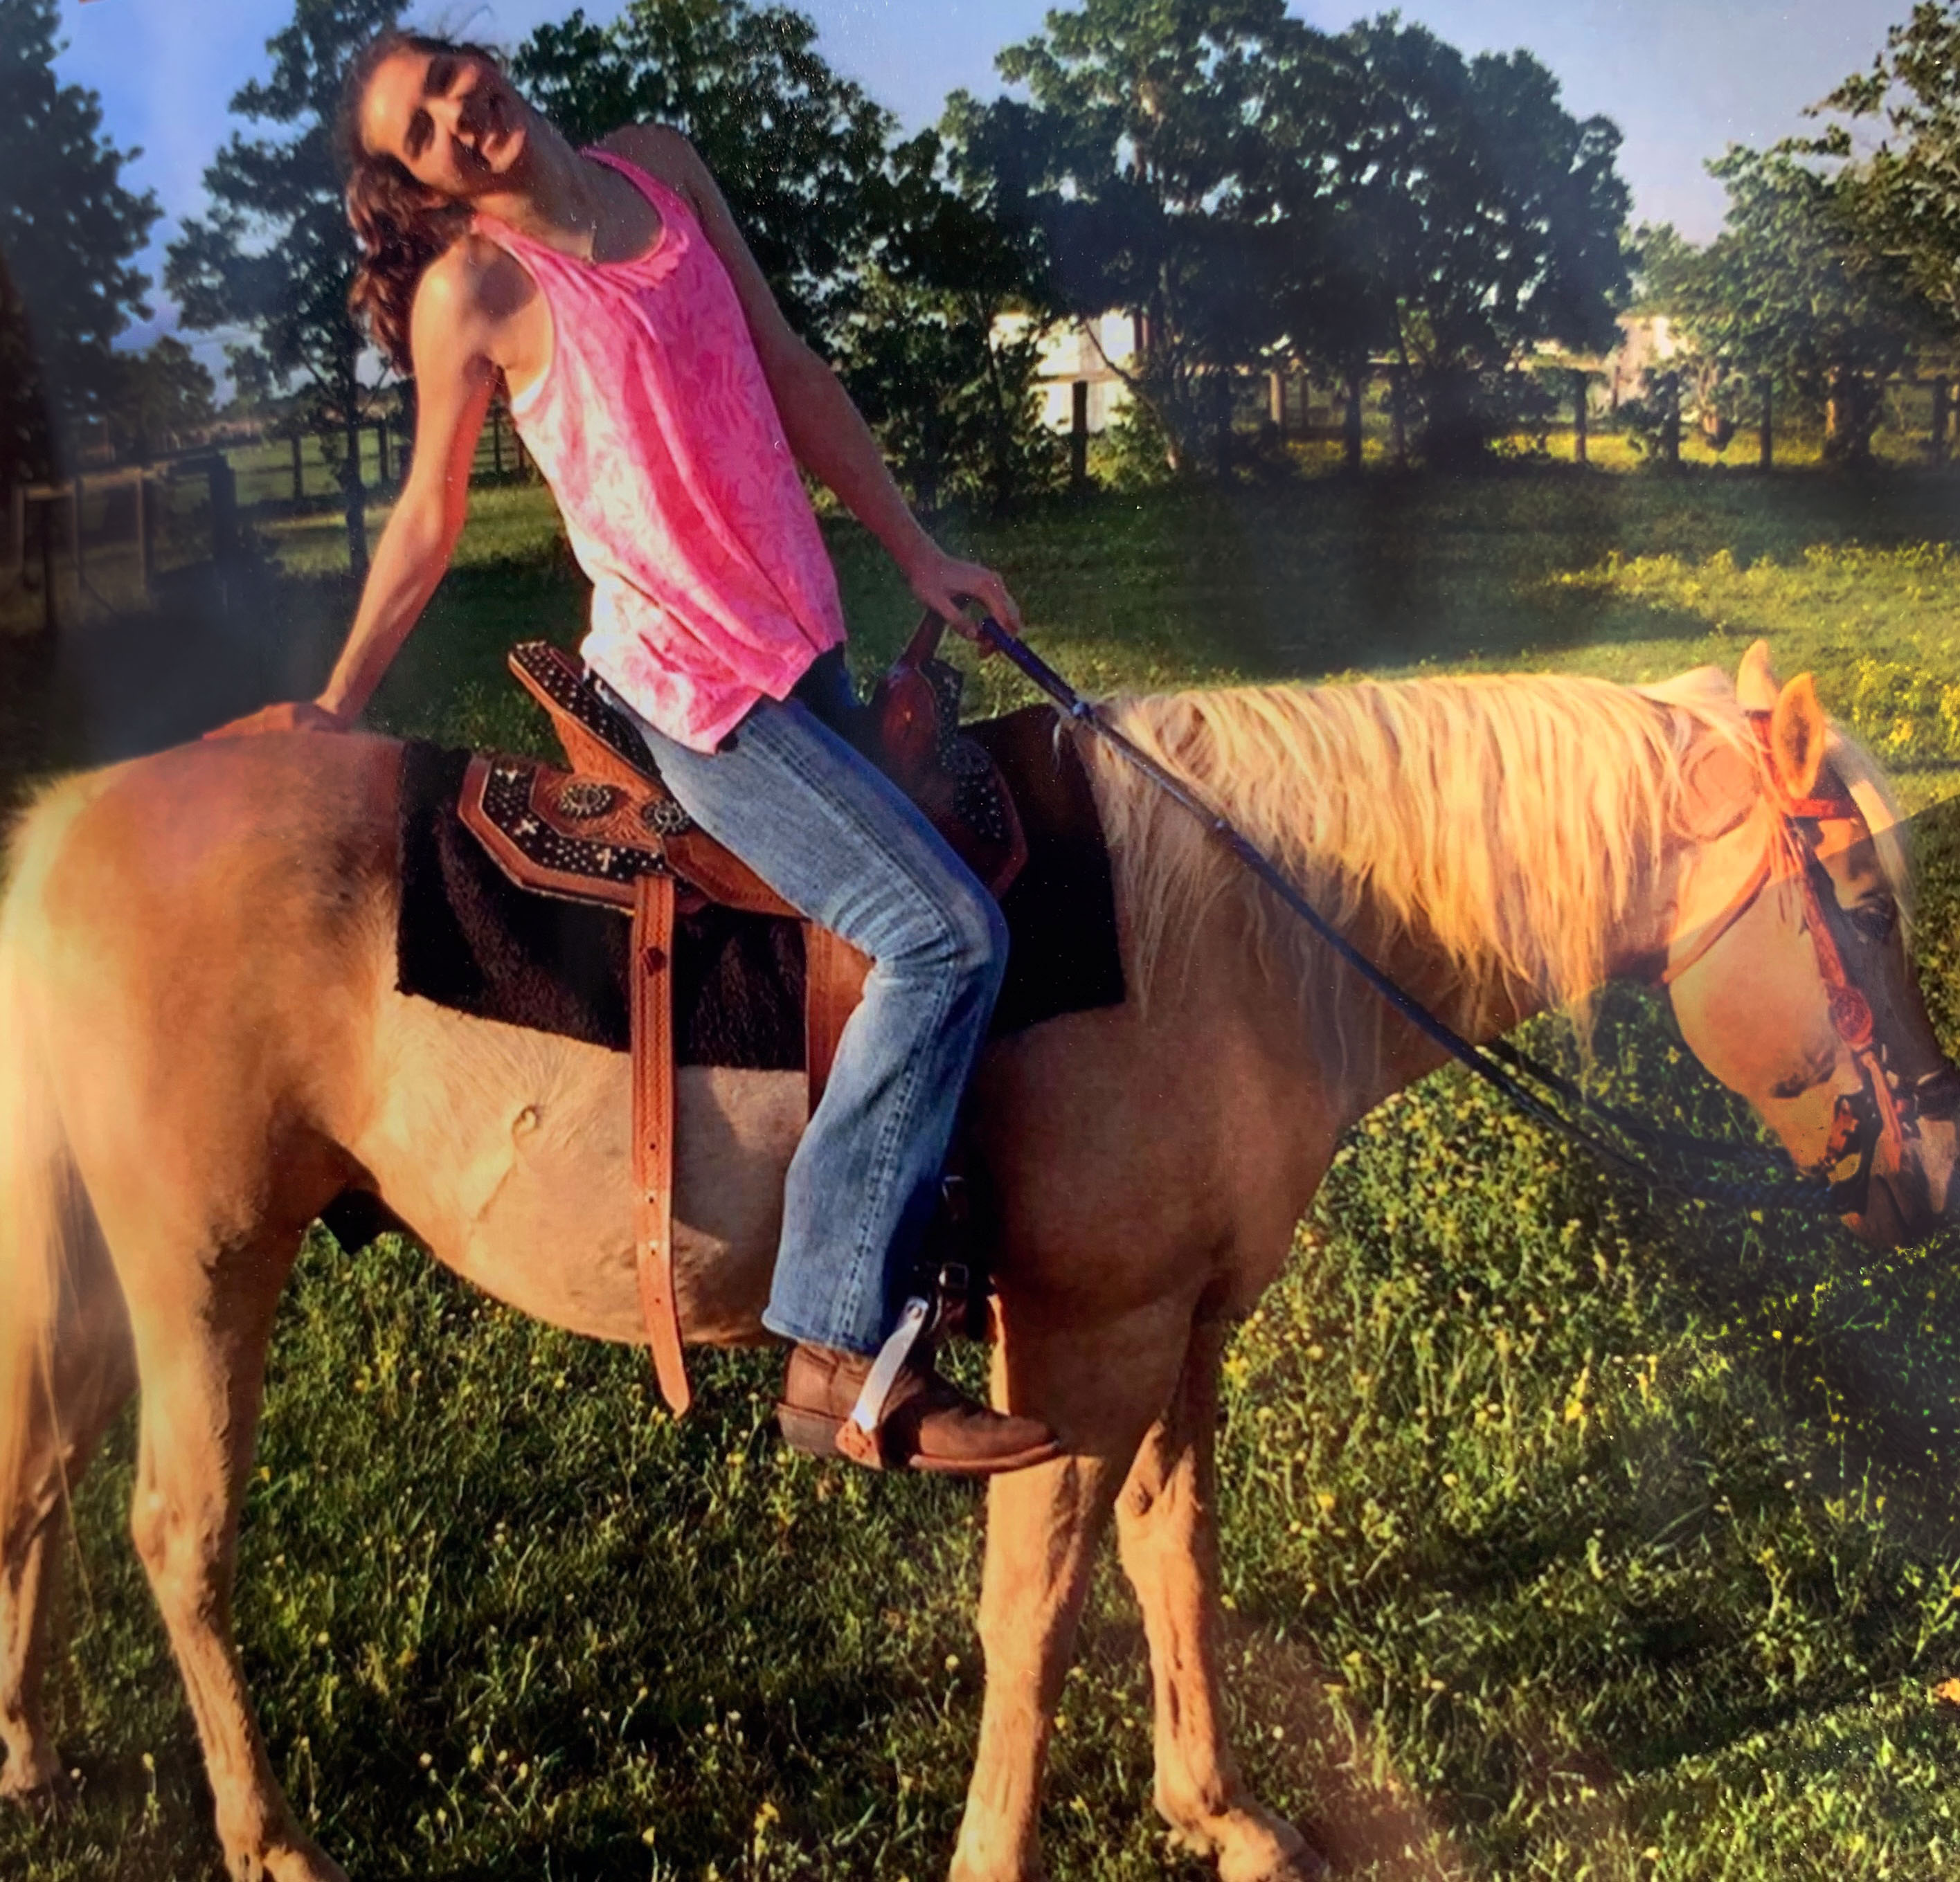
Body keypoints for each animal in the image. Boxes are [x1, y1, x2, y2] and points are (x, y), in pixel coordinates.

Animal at [0, 639, 1952, 1874]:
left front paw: (1217, 1816)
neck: (1238, 927)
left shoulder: (1180, 1327)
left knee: (40, 1478)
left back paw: (28, 1749)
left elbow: (1173, 1555)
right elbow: (1038, 1607)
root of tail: (71, 821)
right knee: (176, 1533)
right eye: (1859, 899)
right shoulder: (1074, 1344)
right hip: (206, 1265)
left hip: (108, 1277)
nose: (1930, 1171)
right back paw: (268, 1842)